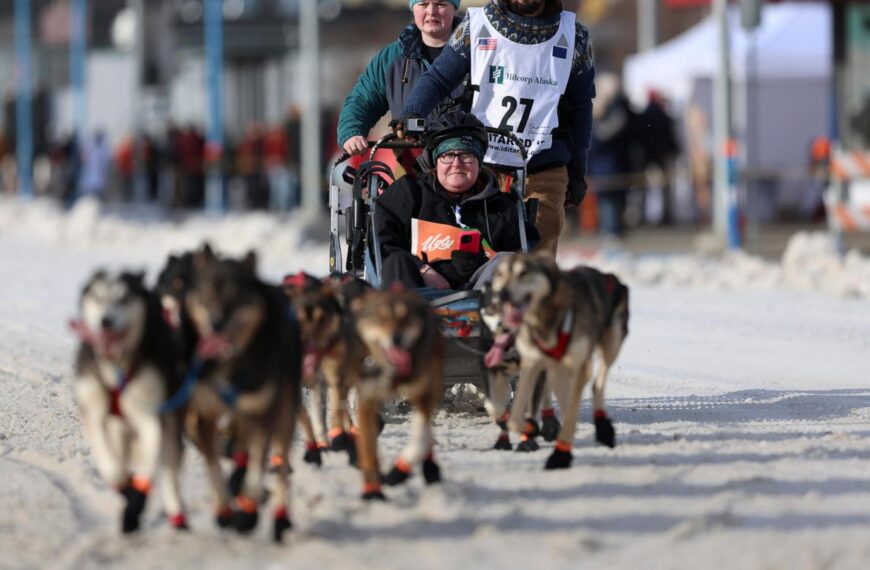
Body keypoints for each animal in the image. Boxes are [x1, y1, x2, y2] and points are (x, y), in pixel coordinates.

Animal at [71, 268, 187, 532]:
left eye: (123, 299)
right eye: (97, 297)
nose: (106, 321)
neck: (116, 367)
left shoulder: (149, 416)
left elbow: (149, 465)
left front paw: (136, 499)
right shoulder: (94, 412)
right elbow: (110, 464)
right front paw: (121, 483)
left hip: (171, 425)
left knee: (169, 470)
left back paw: (175, 513)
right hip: (118, 430)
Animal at [185, 246, 304, 540]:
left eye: (235, 296)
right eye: (207, 293)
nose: (216, 323)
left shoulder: (262, 411)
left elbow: (257, 463)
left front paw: (249, 509)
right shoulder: (204, 415)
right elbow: (214, 464)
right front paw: (224, 509)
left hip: (283, 411)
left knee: (279, 463)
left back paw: (278, 517)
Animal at [346, 288, 442, 496]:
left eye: (405, 316)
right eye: (379, 318)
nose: (396, 338)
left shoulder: (423, 394)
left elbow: (421, 435)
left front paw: (399, 470)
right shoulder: (366, 398)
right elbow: (367, 444)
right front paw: (373, 489)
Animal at [488, 253, 632, 466]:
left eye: (524, 273)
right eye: (500, 274)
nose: (503, 294)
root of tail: (611, 277)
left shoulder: (577, 366)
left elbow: (571, 410)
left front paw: (560, 454)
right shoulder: (532, 365)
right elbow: (514, 417)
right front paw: (529, 430)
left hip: (610, 345)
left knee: (596, 385)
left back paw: (602, 428)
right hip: (556, 371)